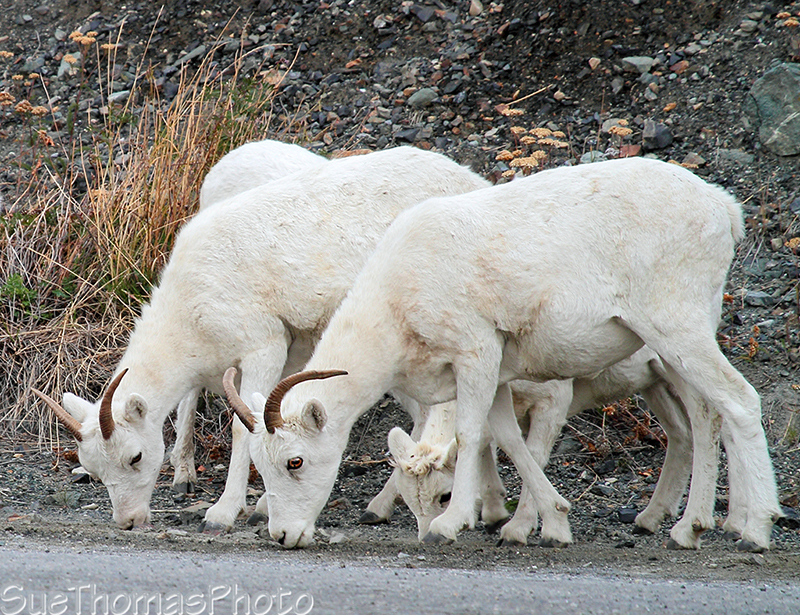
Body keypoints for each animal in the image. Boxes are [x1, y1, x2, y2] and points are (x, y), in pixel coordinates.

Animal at [33, 146, 490, 531]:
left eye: (136, 456)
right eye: (94, 470)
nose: (128, 521)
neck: (192, 304)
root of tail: (472, 181)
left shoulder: (263, 349)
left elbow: (243, 431)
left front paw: (224, 513)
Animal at [387, 347, 695, 543]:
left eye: (445, 496)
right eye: (408, 500)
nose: (426, 536)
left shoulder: (552, 404)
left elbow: (531, 457)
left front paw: (521, 530)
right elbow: (490, 446)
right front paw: (495, 515)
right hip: (654, 383)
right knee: (682, 434)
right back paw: (650, 519)